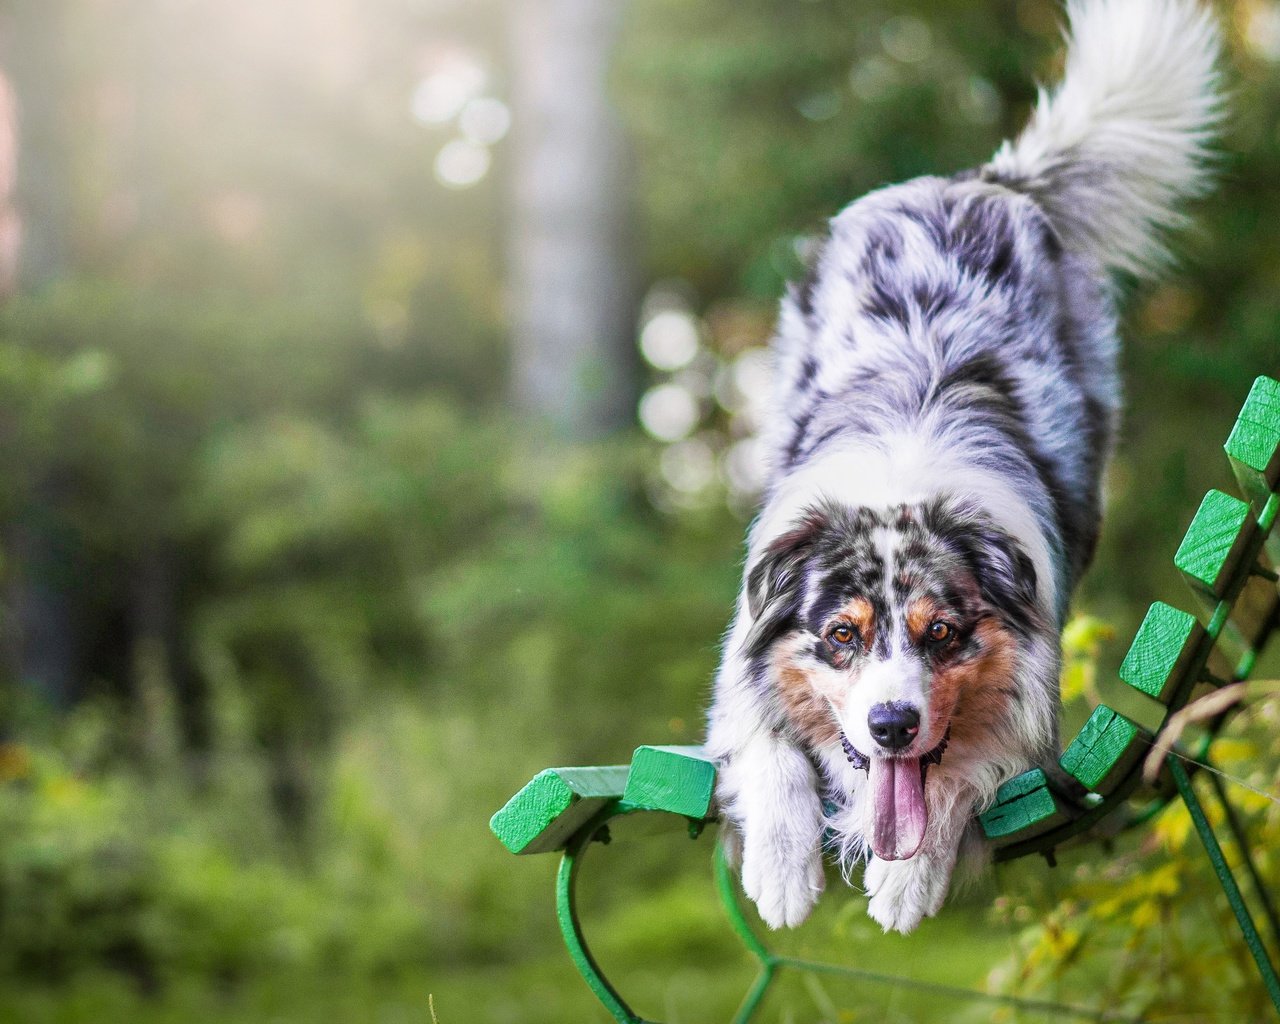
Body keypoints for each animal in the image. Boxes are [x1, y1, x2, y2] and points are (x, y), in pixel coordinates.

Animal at [711, 0, 1218, 936]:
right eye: (842, 636)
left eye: (942, 634)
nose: (891, 725)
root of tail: (983, 182)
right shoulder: (744, 665)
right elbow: (768, 747)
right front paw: (781, 870)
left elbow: (959, 779)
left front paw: (906, 881)